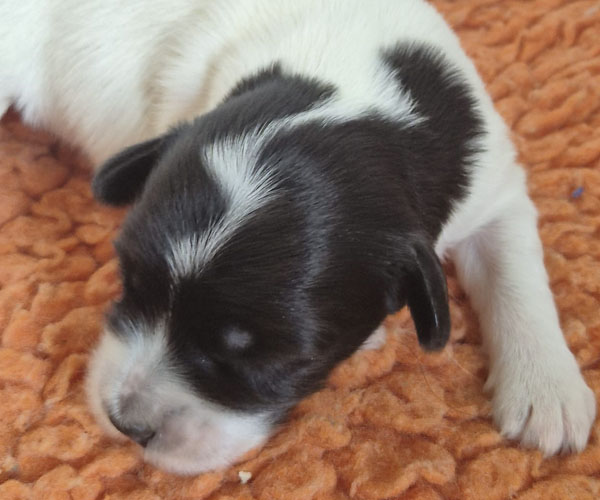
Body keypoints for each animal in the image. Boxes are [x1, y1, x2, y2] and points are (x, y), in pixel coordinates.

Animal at [1, 0, 595, 475]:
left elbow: (517, 270)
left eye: (274, 361)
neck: (344, 82)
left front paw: (547, 391)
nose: (127, 425)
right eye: (127, 282)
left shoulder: (493, 182)